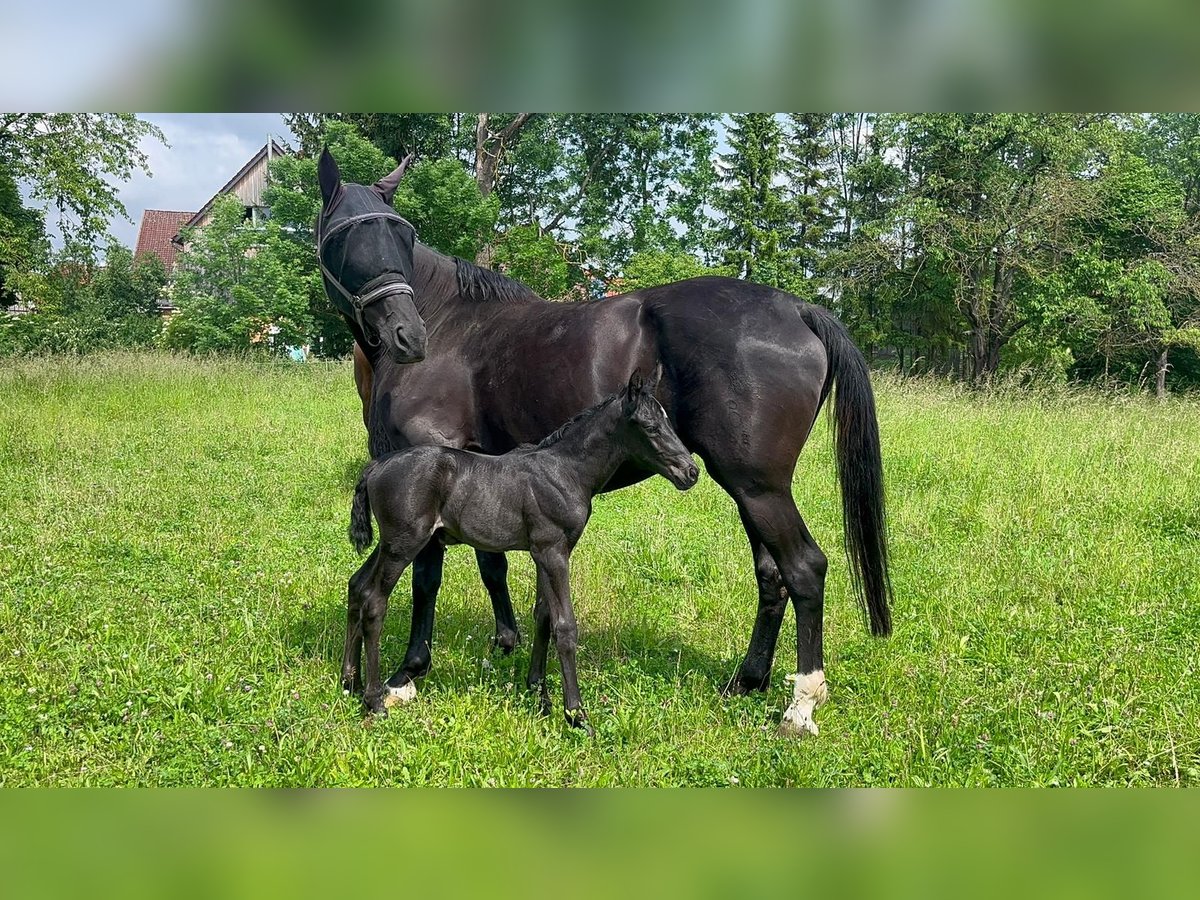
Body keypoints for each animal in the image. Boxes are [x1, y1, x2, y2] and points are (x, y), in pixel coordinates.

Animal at [343, 372, 700, 734]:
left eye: (667, 422)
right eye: (650, 427)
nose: (691, 472)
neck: (565, 472)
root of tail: (376, 466)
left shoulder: (545, 552)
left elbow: (543, 615)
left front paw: (540, 696)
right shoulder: (553, 551)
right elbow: (564, 625)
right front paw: (576, 715)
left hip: (390, 543)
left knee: (357, 585)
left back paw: (350, 682)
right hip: (404, 545)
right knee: (374, 601)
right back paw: (374, 701)